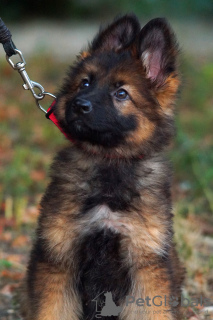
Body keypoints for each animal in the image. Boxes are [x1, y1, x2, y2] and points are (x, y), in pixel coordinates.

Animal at [20, 14, 184, 320]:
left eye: (121, 93)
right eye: (85, 83)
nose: (79, 105)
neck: (109, 163)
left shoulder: (146, 265)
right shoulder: (58, 258)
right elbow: (53, 309)